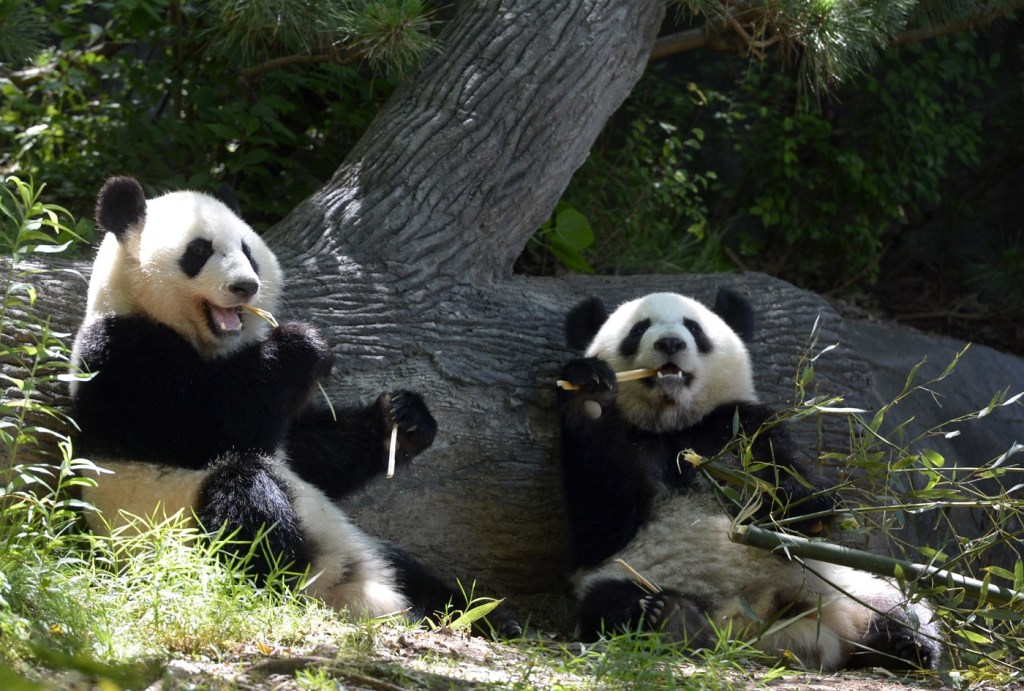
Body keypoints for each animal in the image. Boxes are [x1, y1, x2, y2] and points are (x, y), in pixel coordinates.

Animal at [70, 176, 516, 634]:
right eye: (198, 251)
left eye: (247, 250)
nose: (245, 286)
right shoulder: (123, 357)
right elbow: (205, 426)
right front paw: (302, 344)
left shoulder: (287, 438)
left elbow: (310, 452)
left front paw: (404, 419)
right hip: (175, 524)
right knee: (244, 499)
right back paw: (282, 577)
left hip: (367, 546)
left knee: (411, 570)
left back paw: (484, 616)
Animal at [555, 288, 942, 671]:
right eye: (638, 330)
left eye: (693, 328)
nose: (670, 343)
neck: (674, 423)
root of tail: (755, 625)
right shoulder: (625, 455)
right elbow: (602, 524)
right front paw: (589, 390)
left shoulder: (740, 426)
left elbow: (790, 490)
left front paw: (805, 507)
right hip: (629, 578)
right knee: (611, 603)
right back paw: (673, 620)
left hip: (846, 587)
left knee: (899, 606)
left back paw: (905, 644)